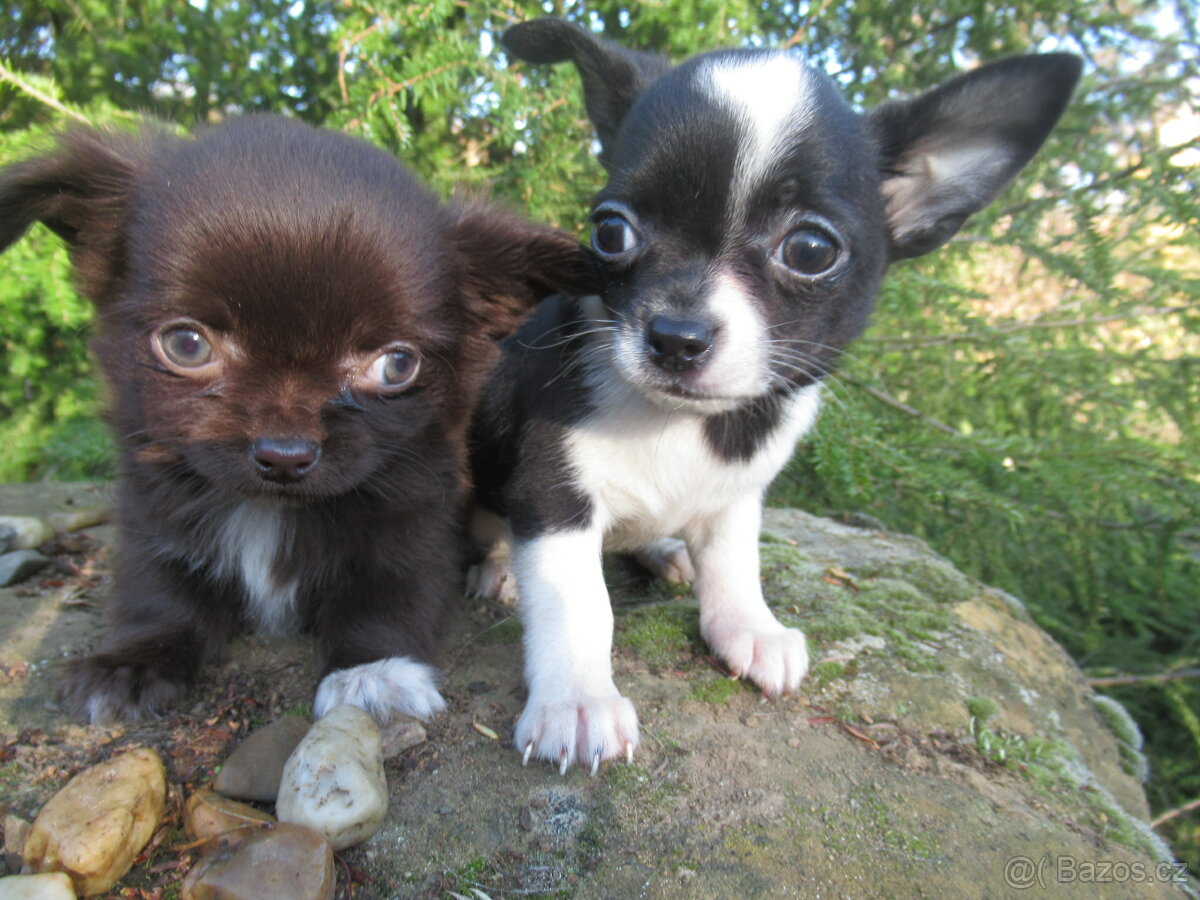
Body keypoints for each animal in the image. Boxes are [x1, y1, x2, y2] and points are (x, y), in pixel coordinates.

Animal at [0, 116, 597, 729]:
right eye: (186, 344)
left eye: (396, 364)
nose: (284, 454)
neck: (271, 513)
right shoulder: (152, 515)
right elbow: (159, 590)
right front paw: (132, 660)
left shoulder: (415, 519)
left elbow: (389, 594)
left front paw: (372, 671)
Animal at [465, 15, 1080, 777]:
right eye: (610, 231)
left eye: (811, 250)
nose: (676, 335)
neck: (682, 425)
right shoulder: (554, 496)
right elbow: (579, 602)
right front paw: (578, 699)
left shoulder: (738, 495)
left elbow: (735, 562)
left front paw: (746, 626)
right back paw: (501, 569)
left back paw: (664, 549)